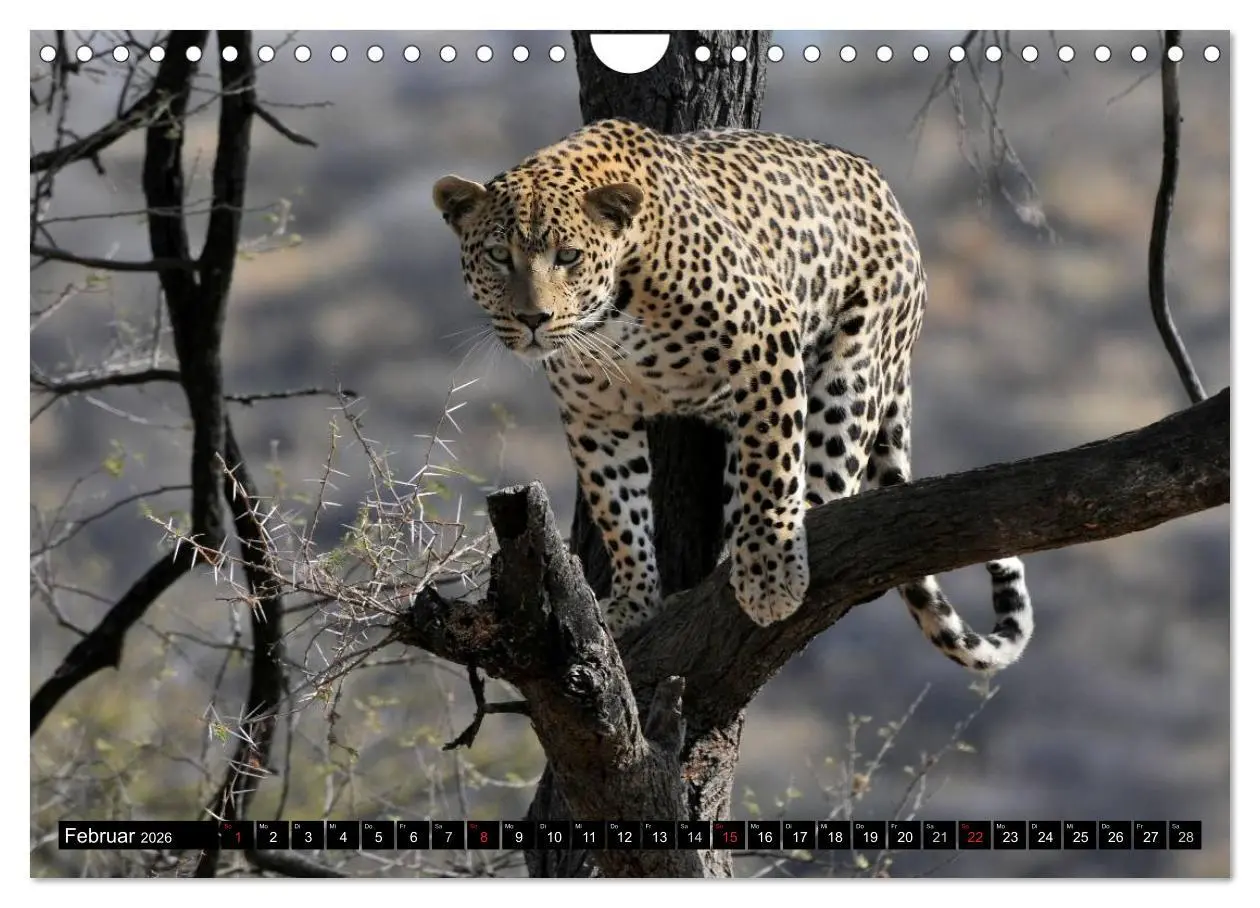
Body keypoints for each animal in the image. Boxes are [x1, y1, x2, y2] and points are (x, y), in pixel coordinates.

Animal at [433, 117, 1034, 672]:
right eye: (498, 256)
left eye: (569, 257)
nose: (533, 318)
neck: (611, 312)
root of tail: (890, 198)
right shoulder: (594, 413)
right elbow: (619, 508)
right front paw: (633, 601)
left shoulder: (766, 343)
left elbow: (773, 470)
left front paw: (770, 573)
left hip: (854, 367)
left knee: (829, 477)